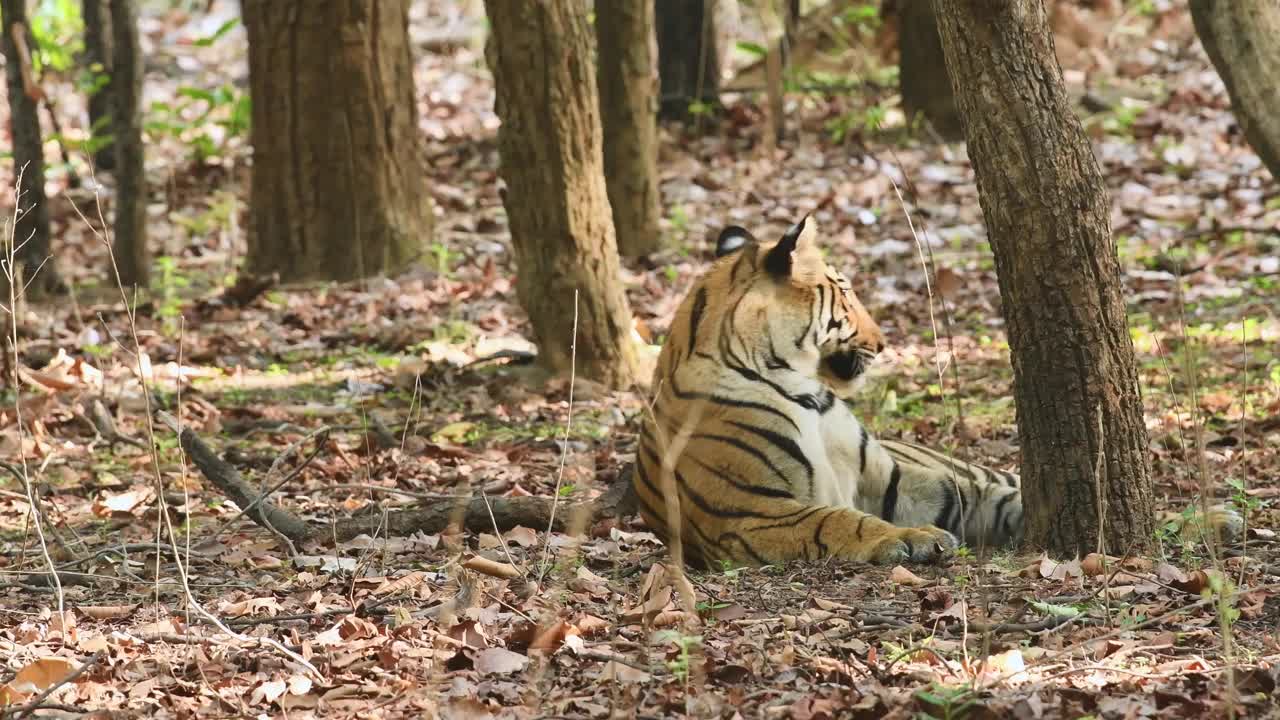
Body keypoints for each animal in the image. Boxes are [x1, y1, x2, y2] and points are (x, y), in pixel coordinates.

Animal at [634, 215, 1244, 563]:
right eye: (846, 295)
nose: (883, 342)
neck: (801, 387)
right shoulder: (750, 511)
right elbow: (837, 518)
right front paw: (905, 541)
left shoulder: (895, 480)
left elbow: (992, 497)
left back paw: (1214, 520)